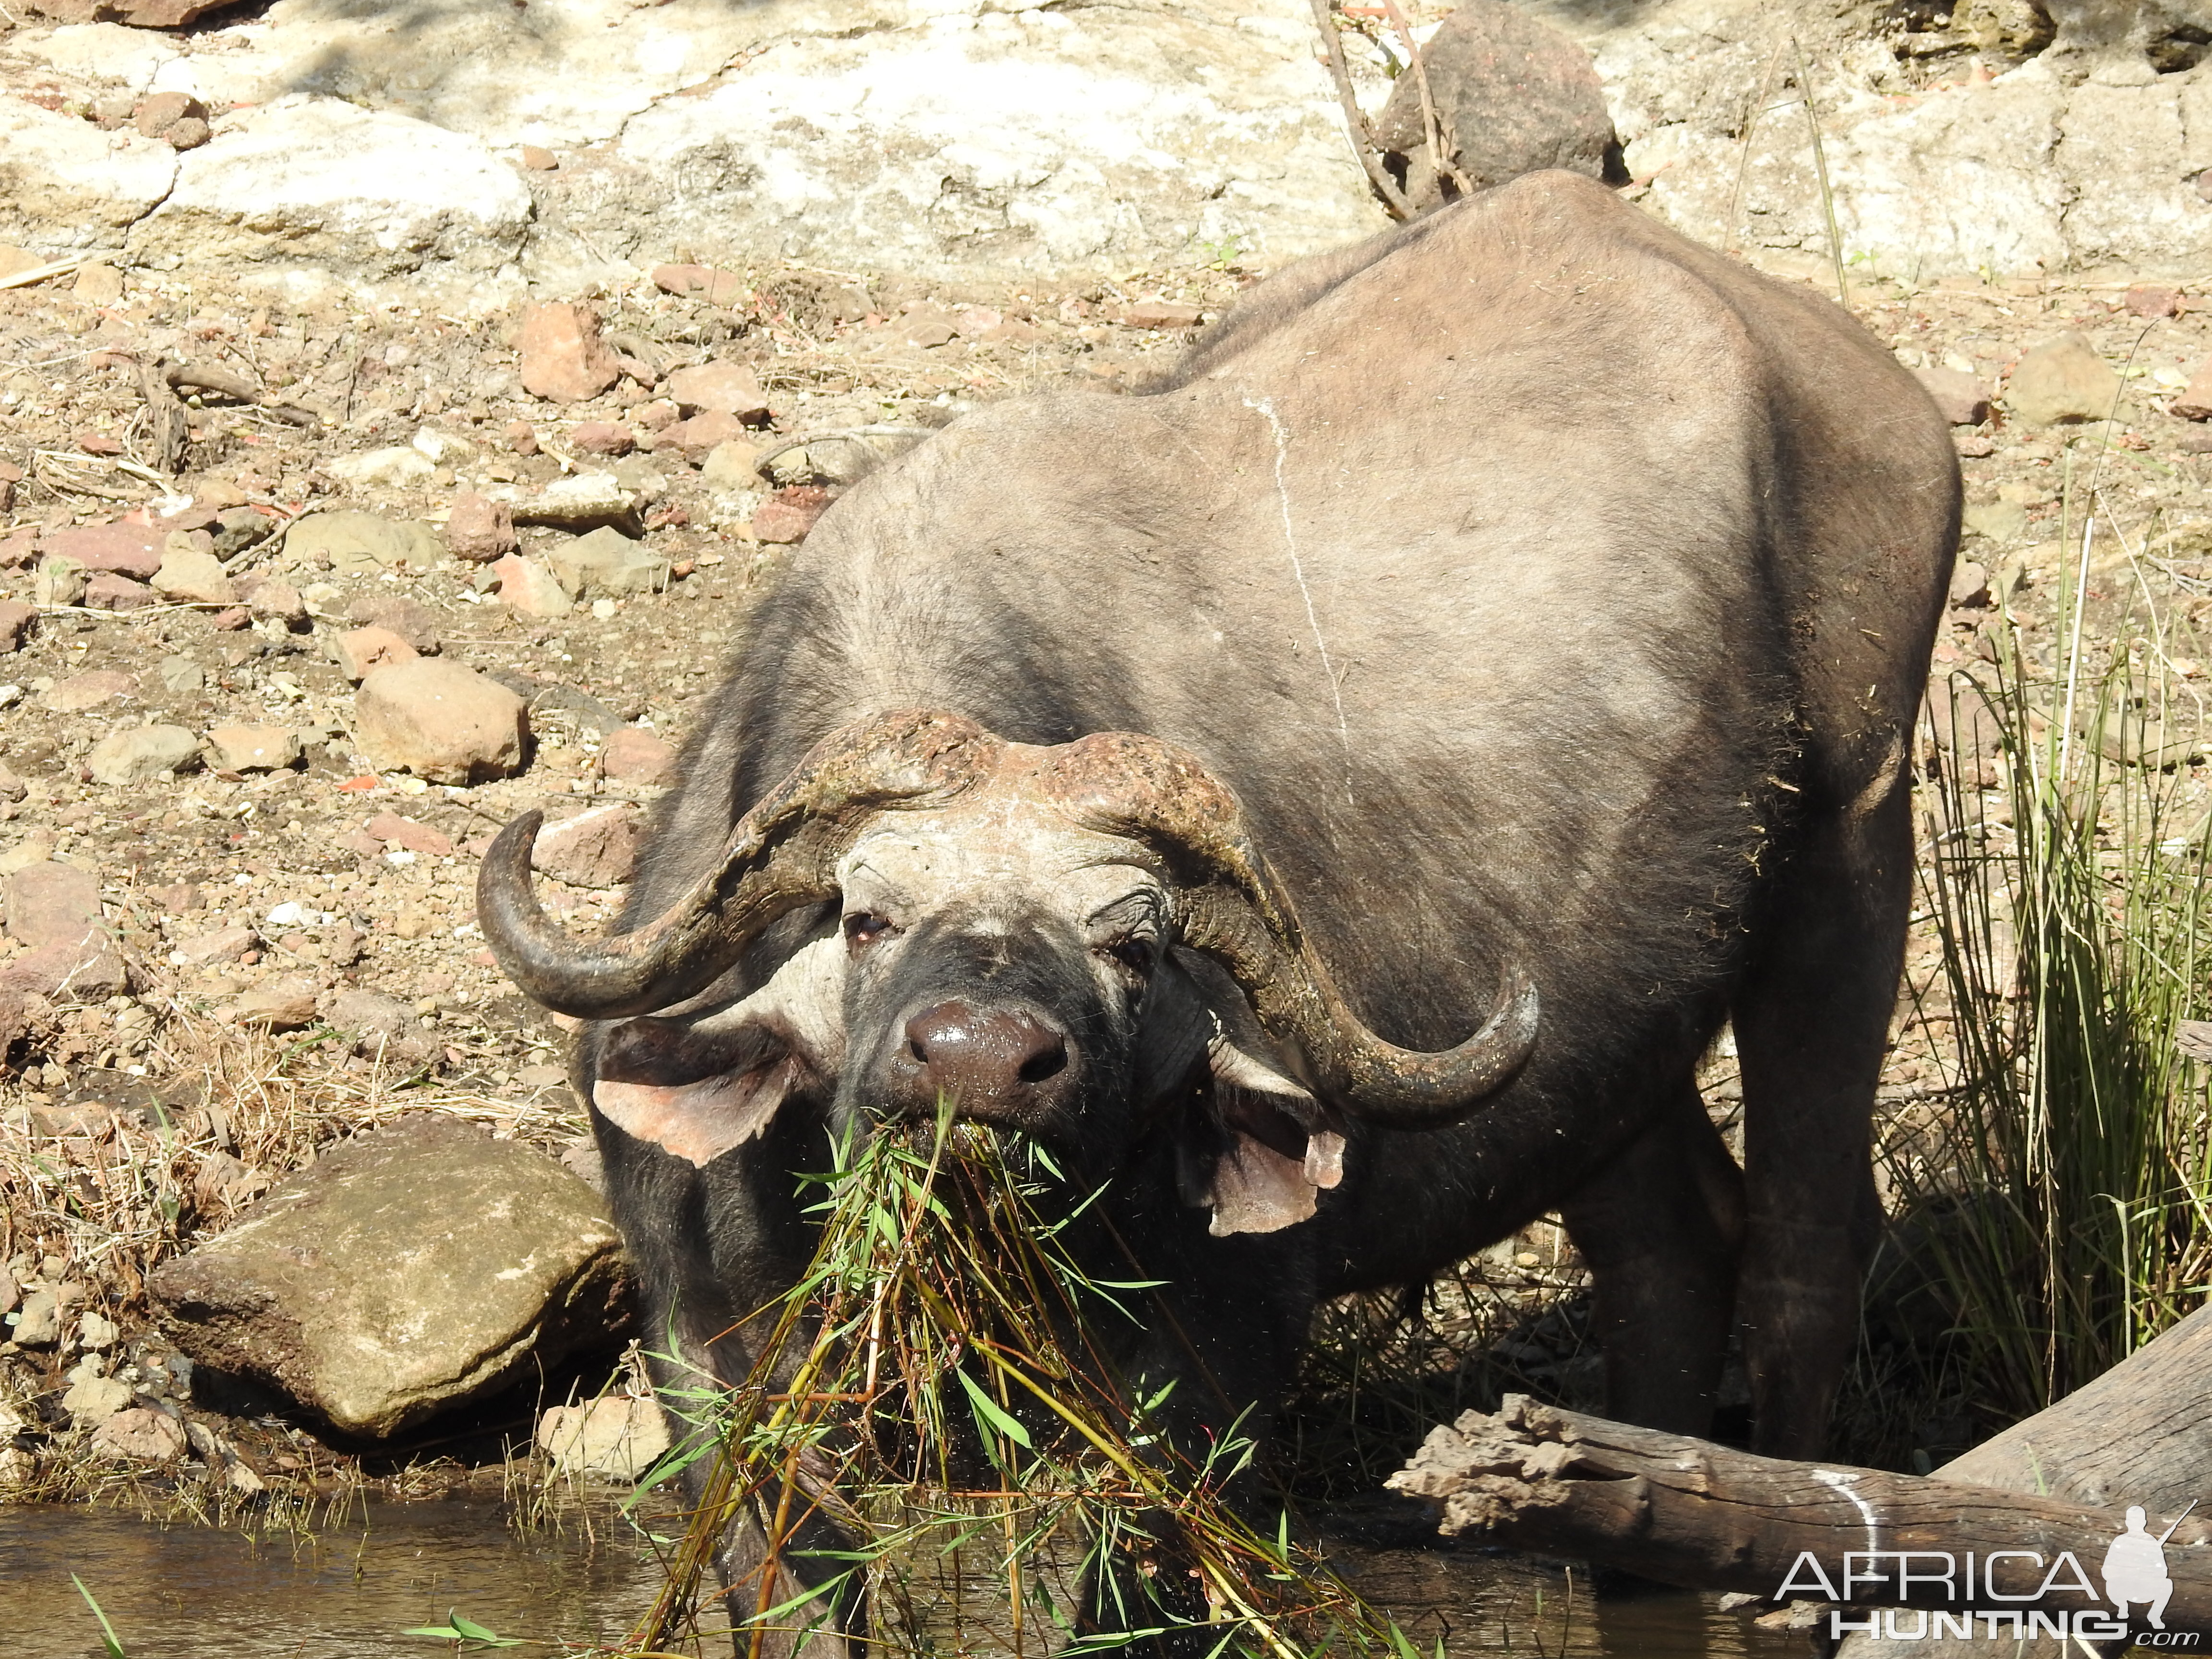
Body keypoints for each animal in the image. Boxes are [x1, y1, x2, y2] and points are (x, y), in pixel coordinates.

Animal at [480, 169, 1955, 1654]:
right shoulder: (712, 1354)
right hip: (1617, 1053)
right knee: (1672, 1252)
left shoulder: (1217, 1365)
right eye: (863, 917)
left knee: (1806, 1251)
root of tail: (1867, 384)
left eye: (1134, 943)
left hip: (1854, 844)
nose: (980, 1066)